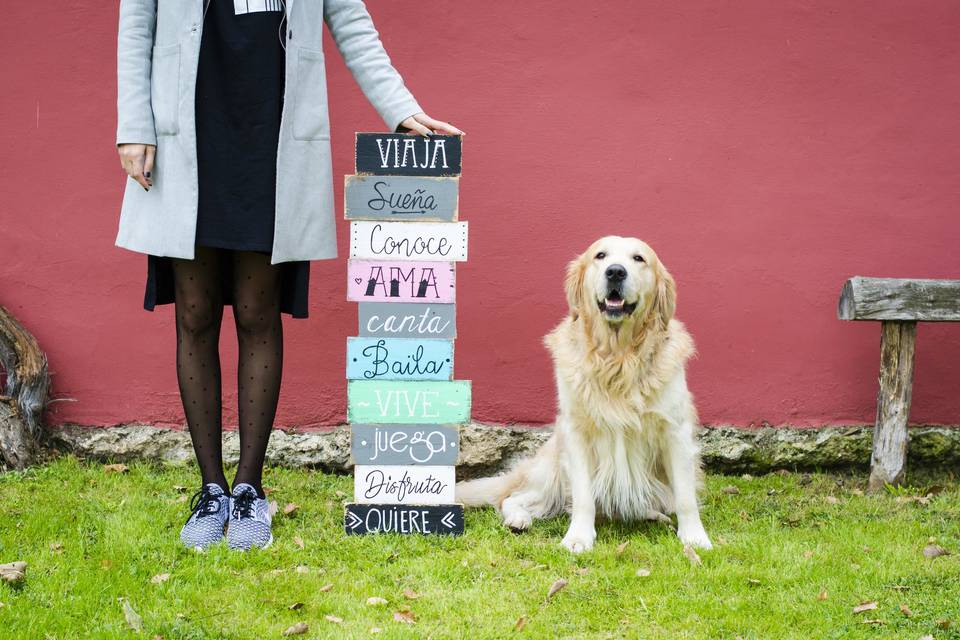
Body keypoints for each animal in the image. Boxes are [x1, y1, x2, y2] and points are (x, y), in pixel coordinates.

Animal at [454, 238, 708, 552]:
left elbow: (685, 498)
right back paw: (518, 519)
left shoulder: (675, 431)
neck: (617, 358)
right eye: (600, 255)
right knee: (512, 498)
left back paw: (654, 516)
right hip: (552, 469)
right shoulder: (576, 433)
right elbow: (584, 498)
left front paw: (695, 537)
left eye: (639, 259)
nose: (615, 272)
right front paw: (578, 537)